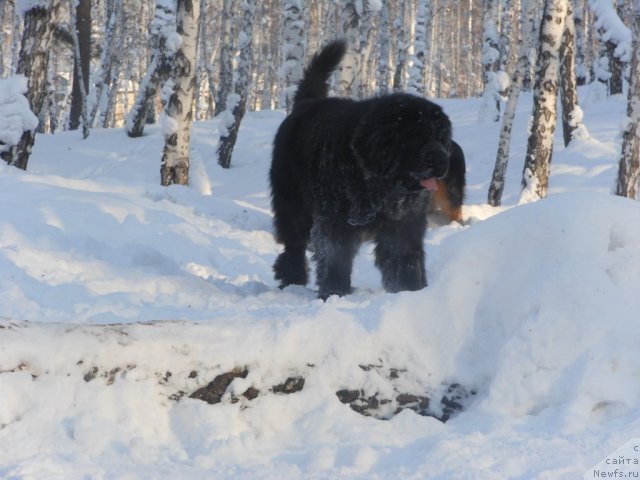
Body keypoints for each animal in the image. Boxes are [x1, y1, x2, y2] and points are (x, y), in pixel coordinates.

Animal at [270, 41, 460, 298]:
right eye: (418, 137)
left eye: (441, 138)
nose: (442, 161)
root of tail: (305, 104)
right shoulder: (334, 222)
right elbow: (335, 259)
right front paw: (334, 292)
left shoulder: (403, 226)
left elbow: (405, 259)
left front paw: (410, 290)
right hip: (293, 205)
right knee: (294, 245)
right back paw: (292, 279)